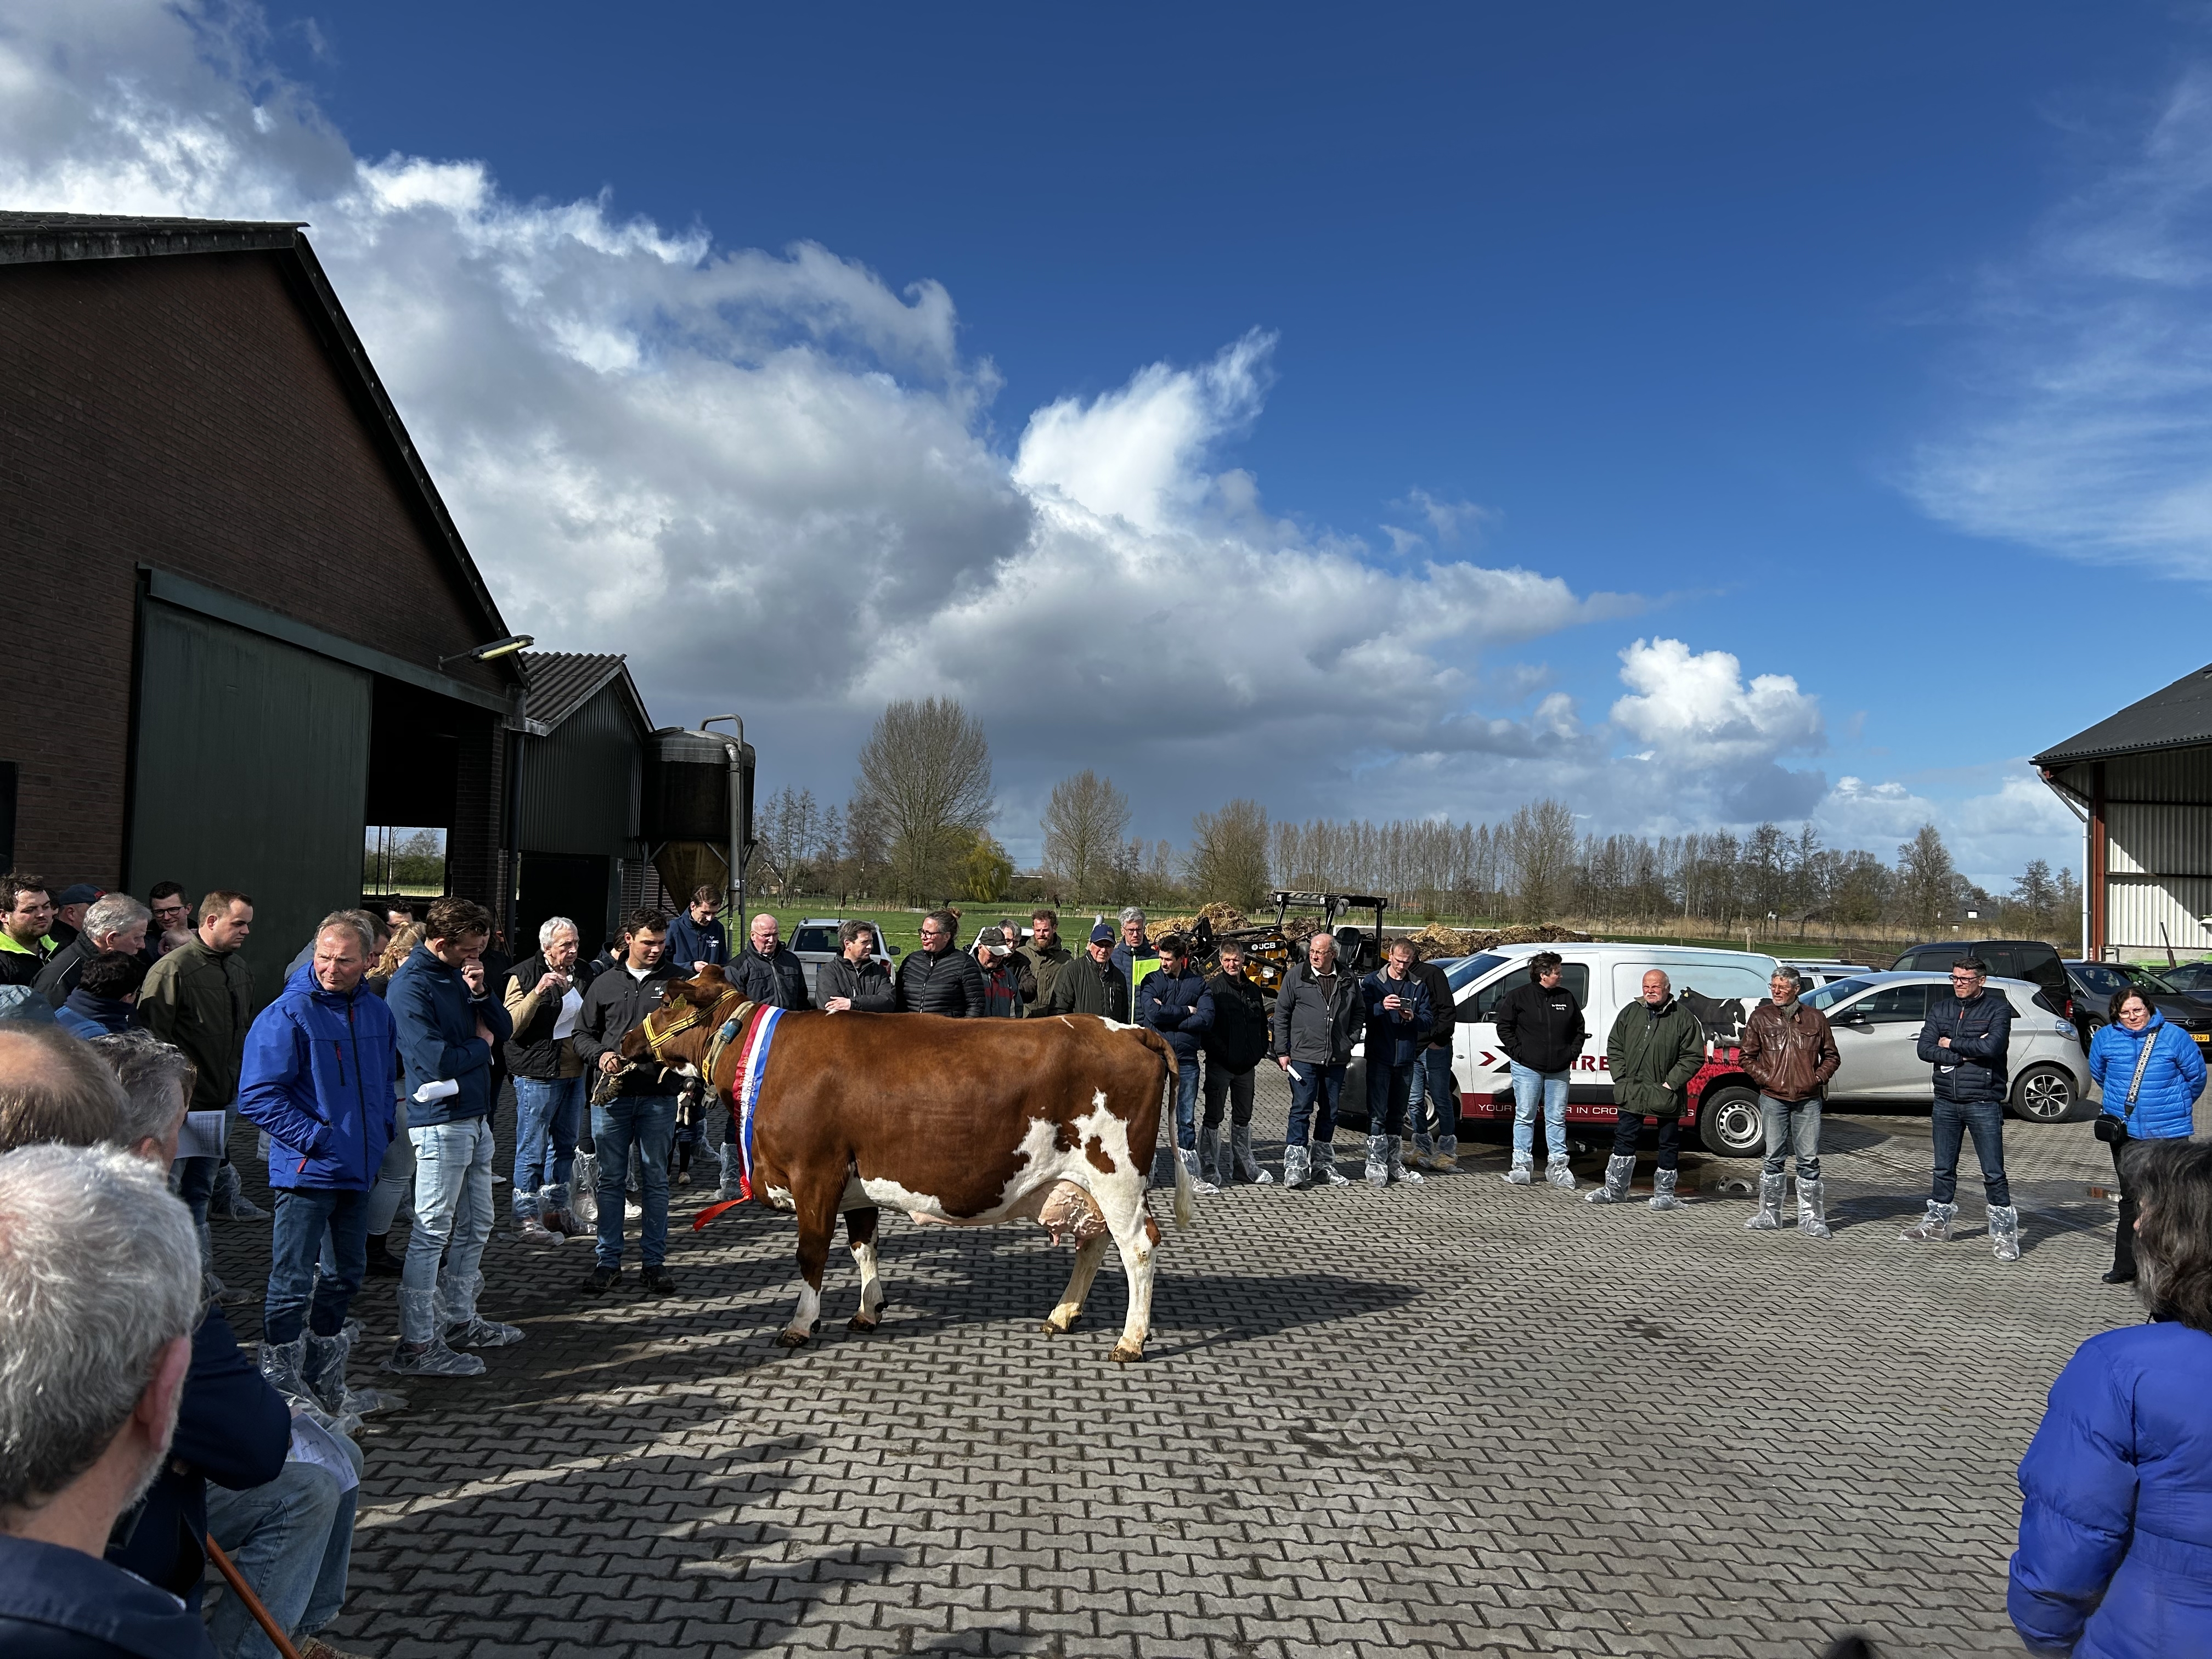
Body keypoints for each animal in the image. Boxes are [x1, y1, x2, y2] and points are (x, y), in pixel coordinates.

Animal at [617, 966, 1194, 1361]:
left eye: (666, 999)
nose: (623, 1039)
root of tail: (1131, 1030)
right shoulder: (856, 1183)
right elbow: (863, 1248)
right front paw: (868, 1310)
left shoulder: (815, 1174)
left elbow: (812, 1255)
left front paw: (802, 1325)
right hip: (1086, 1183)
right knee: (1094, 1243)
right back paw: (1062, 1314)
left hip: (1118, 1176)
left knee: (1138, 1247)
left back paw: (1131, 1340)